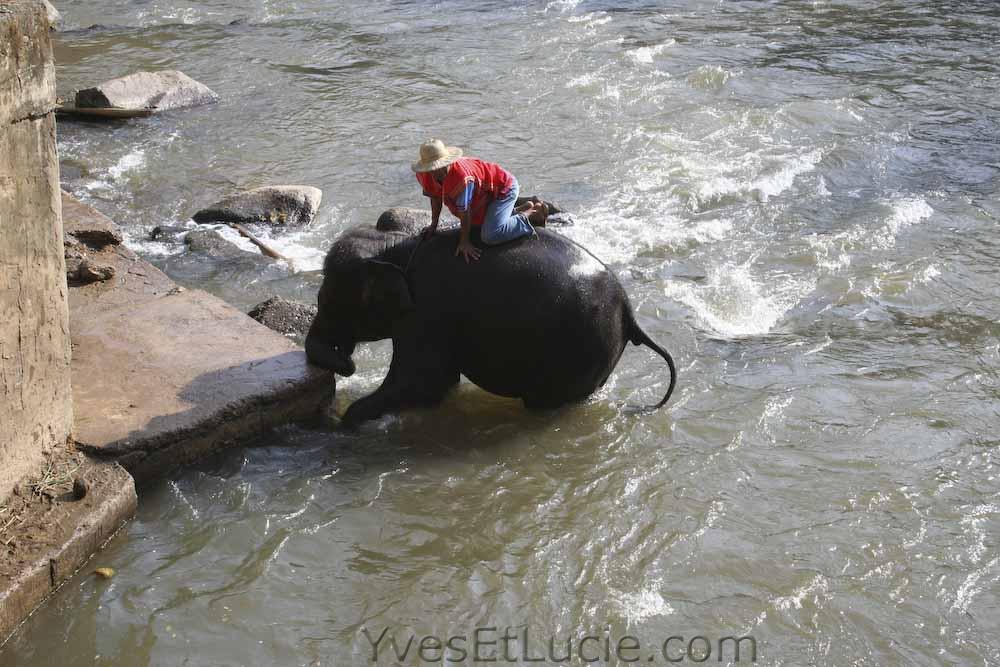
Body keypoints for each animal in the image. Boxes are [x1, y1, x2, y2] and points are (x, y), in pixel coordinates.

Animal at [308, 219, 676, 428]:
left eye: (329, 299)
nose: (348, 361)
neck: (393, 247)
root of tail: (628, 309)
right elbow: (438, 384)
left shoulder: (426, 315)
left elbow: (423, 382)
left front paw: (345, 421)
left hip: (582, 345)